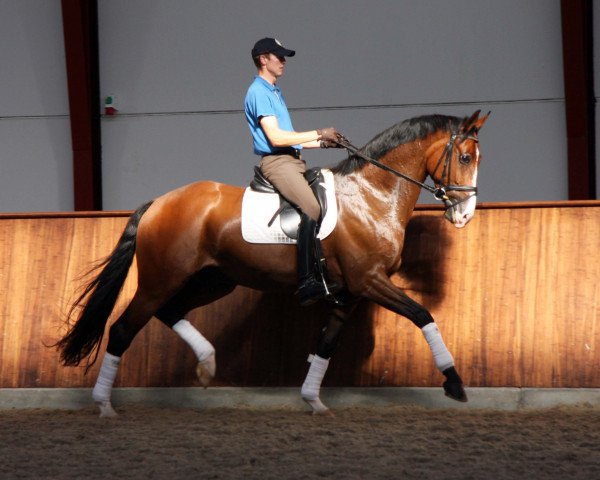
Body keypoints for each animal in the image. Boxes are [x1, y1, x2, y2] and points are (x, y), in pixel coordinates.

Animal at [56, 110, 488, 414]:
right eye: (465, 156)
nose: (465, 215)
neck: (370, 196)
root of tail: (158, 203)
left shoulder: (351, 292)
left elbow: (327, 343)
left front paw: (313, 399)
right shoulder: (369, 280)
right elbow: (422, 315)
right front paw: (454, 384)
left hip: (215, 280)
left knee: (170, 312)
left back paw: (207, 364)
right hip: (159, 280)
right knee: (122, 330)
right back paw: (105, 406)